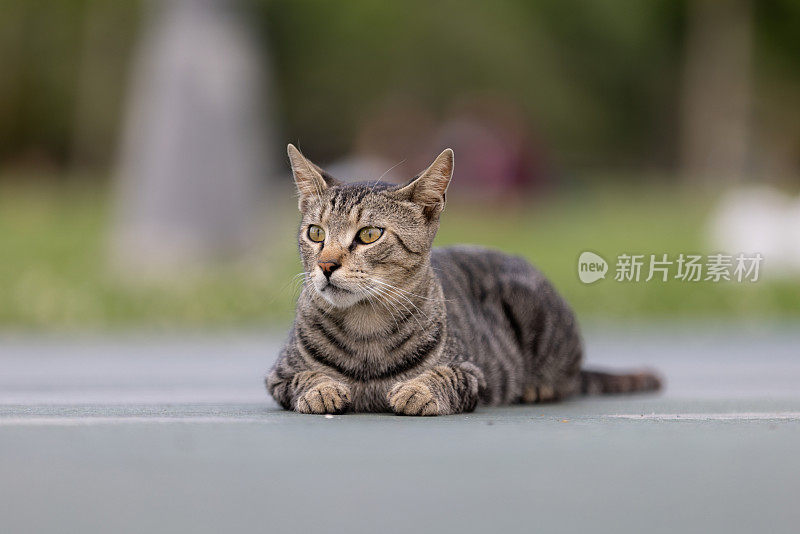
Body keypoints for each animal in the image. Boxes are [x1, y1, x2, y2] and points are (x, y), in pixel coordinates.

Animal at [266, 144, 660, 416]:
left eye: (368, 235)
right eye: (316, 233)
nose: (326, 265)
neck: (366, 329)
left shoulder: (472, 374)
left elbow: (444, 376)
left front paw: (419, 390)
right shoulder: (278, 376)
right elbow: (305, 377)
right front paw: (322, 389)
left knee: (567, 378)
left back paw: (538, 387)